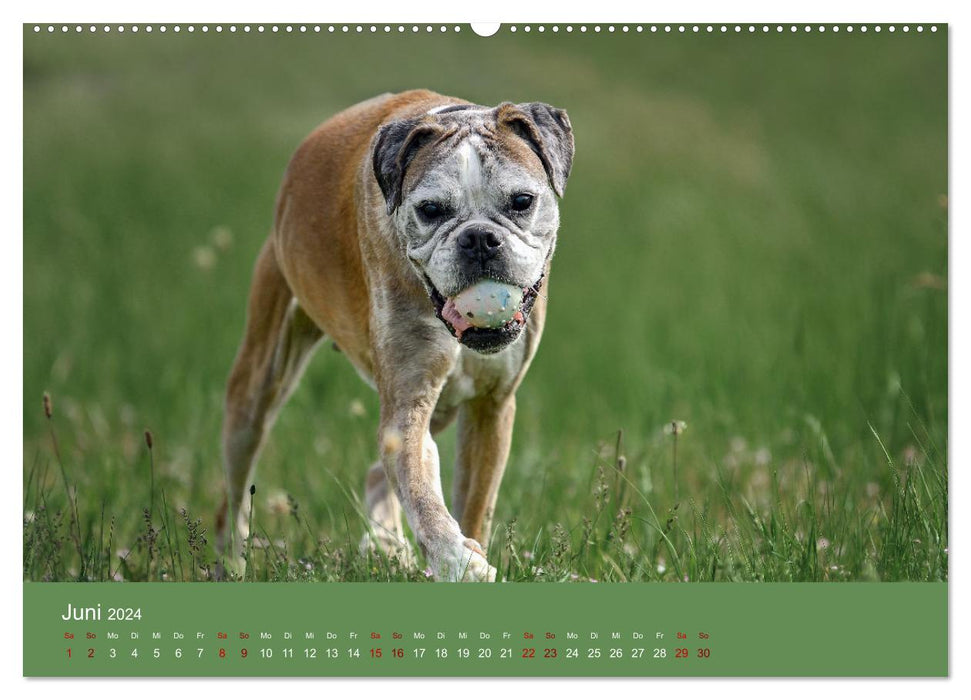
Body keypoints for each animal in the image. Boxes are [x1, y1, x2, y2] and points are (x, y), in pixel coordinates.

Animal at [216, 90, 572, 584]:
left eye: (521, 201)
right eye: (431, 210)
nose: (480, 238)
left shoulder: (492, 406)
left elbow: (473, 504)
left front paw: (465, 550)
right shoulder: (408, 405)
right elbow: (422, 493)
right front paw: (459, 561)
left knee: (375, 475)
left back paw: (386, 545)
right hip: (257, 387)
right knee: (233, 491)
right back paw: (231, 562)